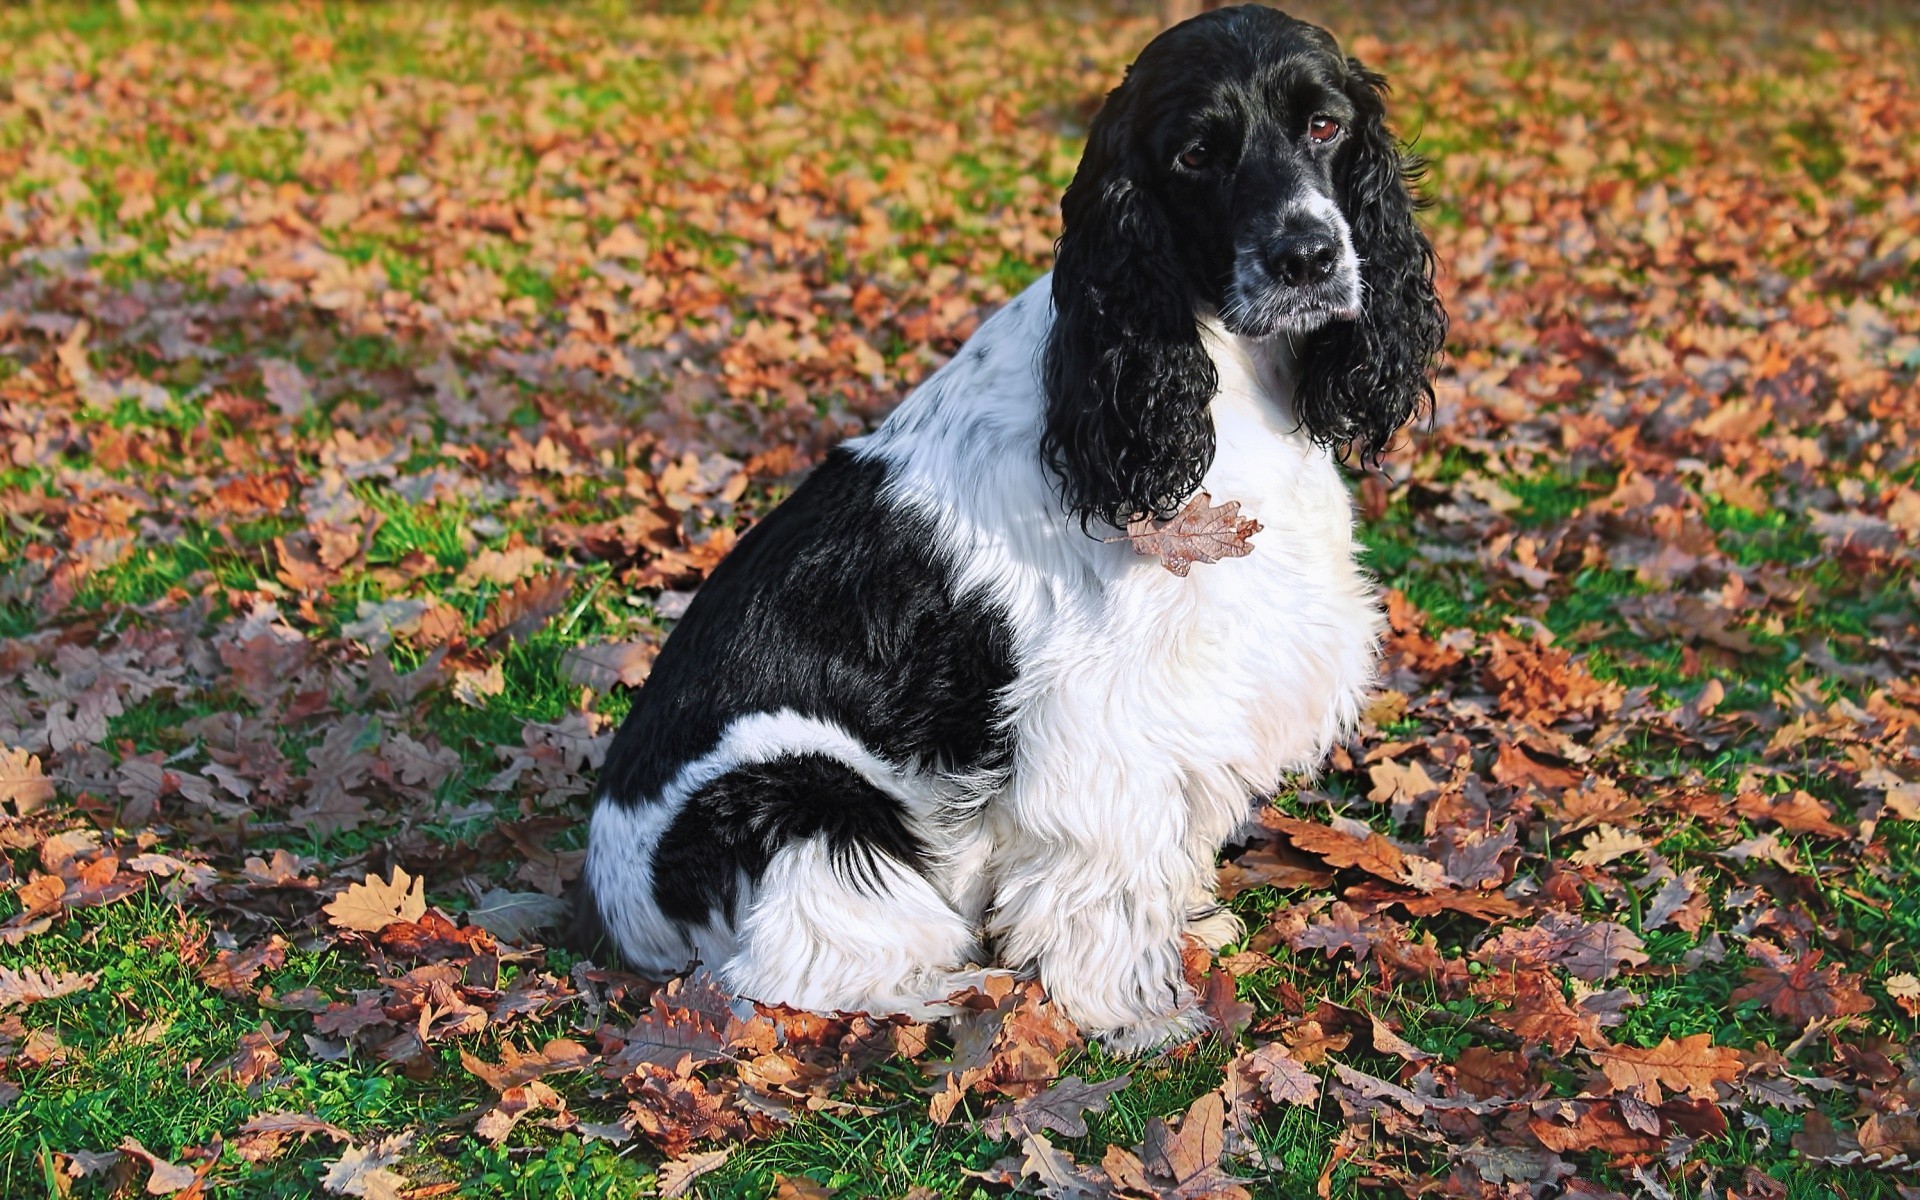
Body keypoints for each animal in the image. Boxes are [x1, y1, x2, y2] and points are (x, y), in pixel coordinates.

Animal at [576, 4, 1443, 1044]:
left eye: (1324, 125)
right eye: (1196, 154)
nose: (1307, 256)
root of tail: (618, 911)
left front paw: (1193, 923)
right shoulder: (1102, 712)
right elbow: (1109, 877)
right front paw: (1135, 1013)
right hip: (796, 789)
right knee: (787, 965)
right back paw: (950, 987)